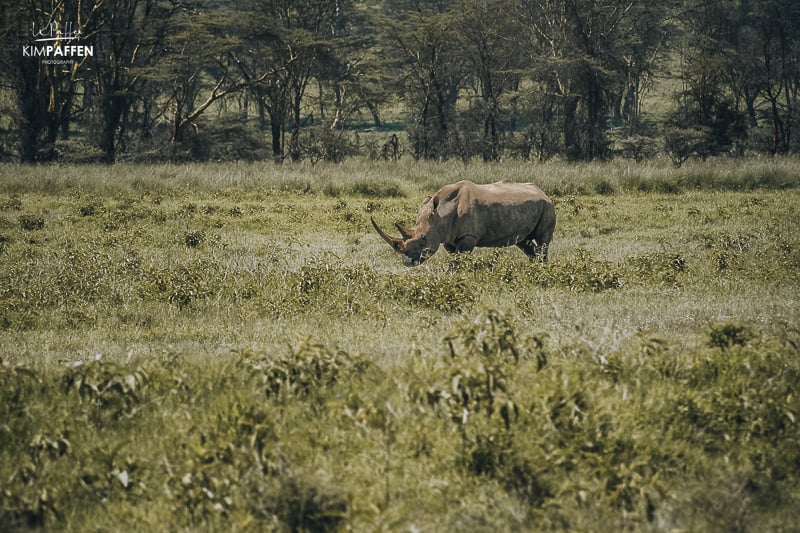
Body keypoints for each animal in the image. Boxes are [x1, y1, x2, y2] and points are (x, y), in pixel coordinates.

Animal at [370, 180, 552, 266]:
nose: (407, 262)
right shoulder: (448, 237)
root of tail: (543, 192)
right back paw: (532, 266)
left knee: (543, 240)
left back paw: (540, 268)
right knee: (523, 241)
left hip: (547, 206)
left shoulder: (468, 236)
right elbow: (454, 258)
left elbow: (458, 260)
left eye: (423, 239)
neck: (441, 213)